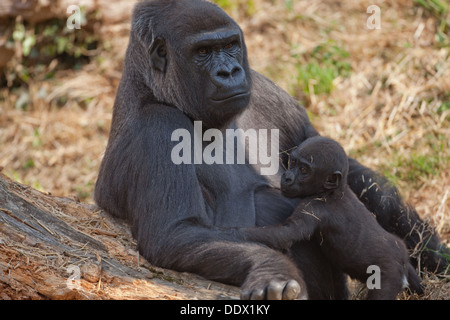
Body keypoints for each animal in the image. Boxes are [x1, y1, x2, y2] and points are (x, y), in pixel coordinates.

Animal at [243, 136, 422, 300]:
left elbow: (286, 234)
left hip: (389, 273)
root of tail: (401, 260)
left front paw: (238, 233)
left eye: (303, 170)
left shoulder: (313, 207)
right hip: (402, 255)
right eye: (292, 162)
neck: (334, 191)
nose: (287, 177)